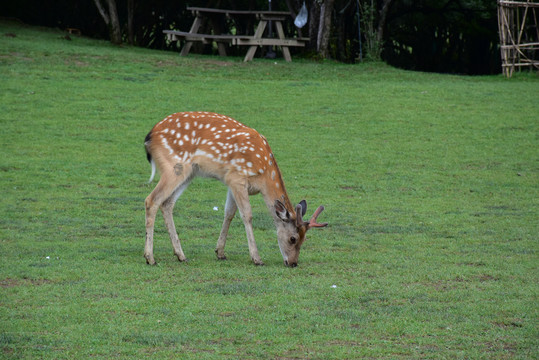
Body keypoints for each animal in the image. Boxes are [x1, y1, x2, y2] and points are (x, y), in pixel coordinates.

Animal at [143, 112, 326, 268]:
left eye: (304, 239)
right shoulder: (237, 177)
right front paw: (256, 258)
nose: (293, 263)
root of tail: (149, 137)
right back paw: (150, 257)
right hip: (174, 166)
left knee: (167, 203)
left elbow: (229, 213)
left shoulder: (230, 181)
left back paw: (181, 255)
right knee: (151, 200)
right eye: (293, 238)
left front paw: (220, 252)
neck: (264, 175)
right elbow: (247, 215)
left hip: (189, 173)